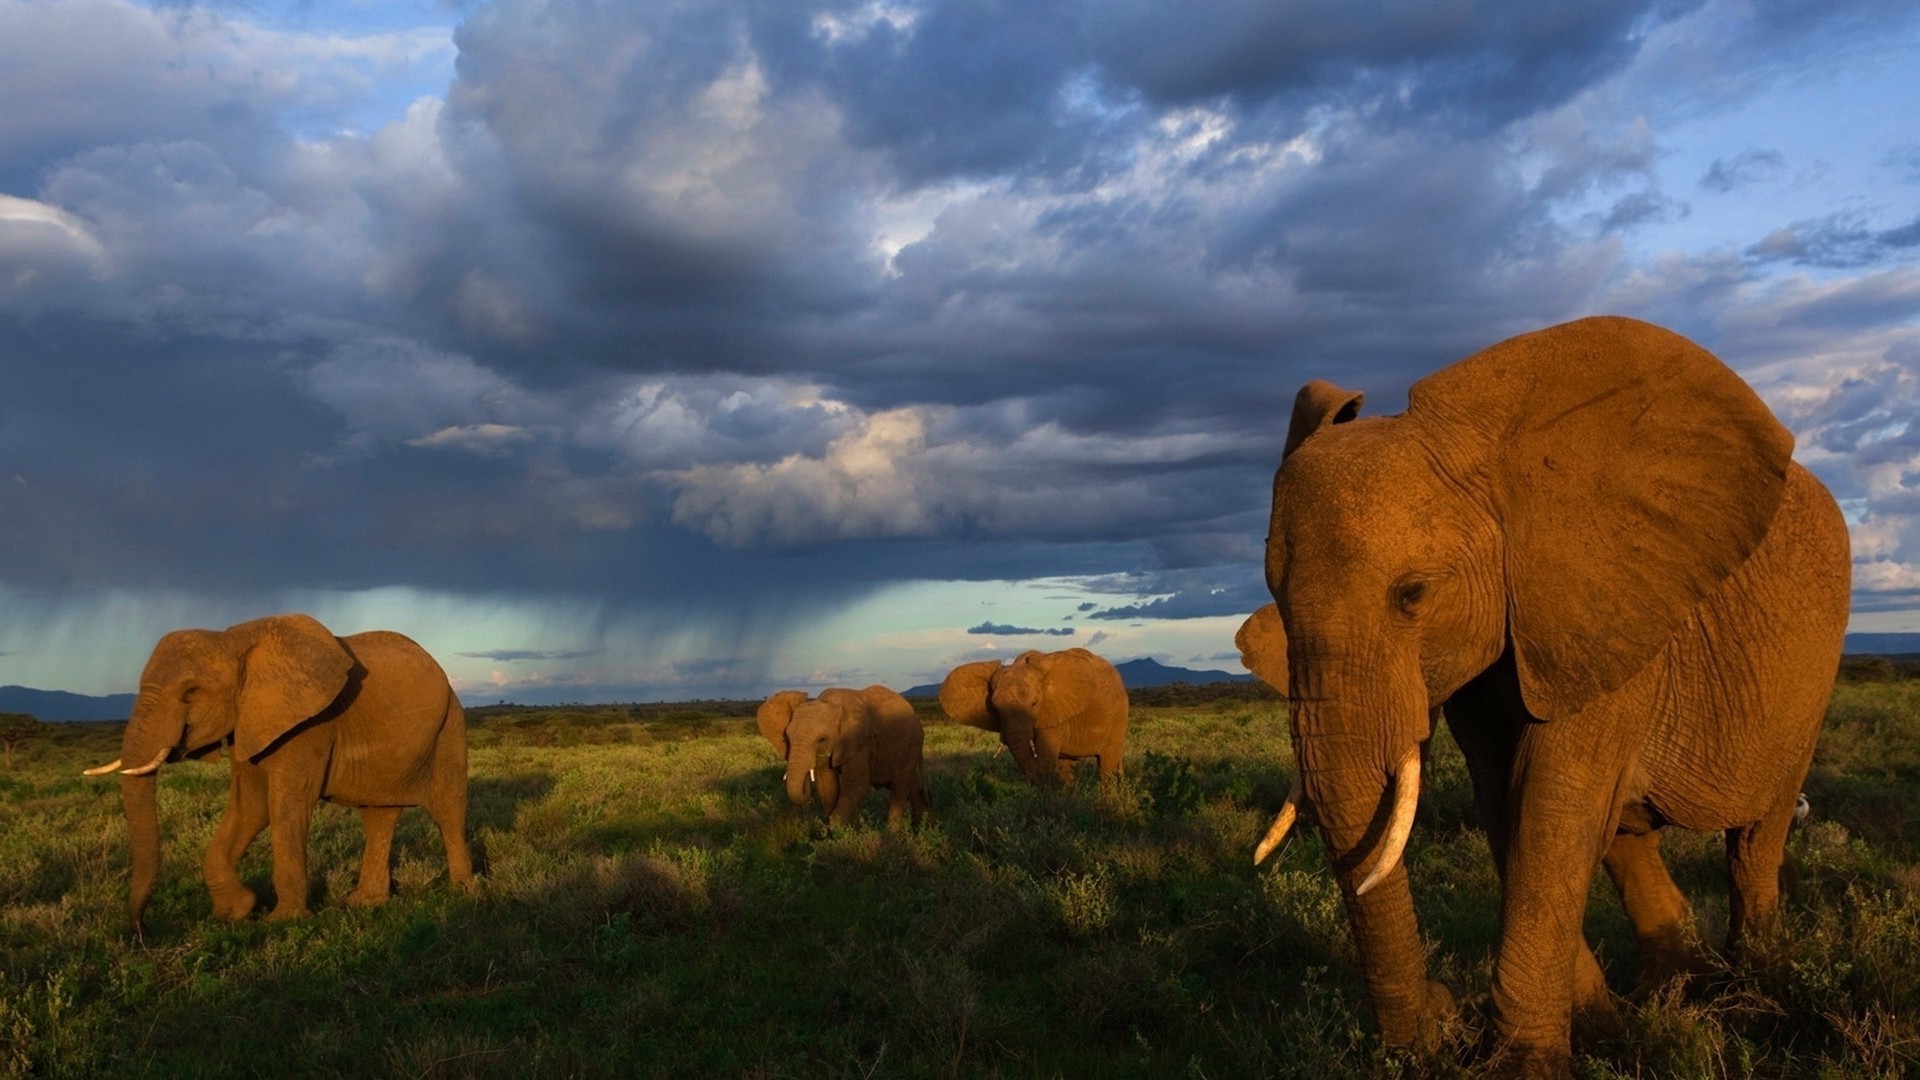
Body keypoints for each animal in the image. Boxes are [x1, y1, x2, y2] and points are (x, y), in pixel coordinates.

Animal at [83, 614, 476, 926]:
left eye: (191, 692)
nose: (140, 930)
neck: (232, 640)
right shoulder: (247, 721)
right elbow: (250, 806)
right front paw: (236, 912)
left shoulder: (309, 726)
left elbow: (286, 807)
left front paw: (281, 921)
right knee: (378, 817)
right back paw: (365, 903)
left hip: (450, 728)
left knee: (447, 810)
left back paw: (463, 892)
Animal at [752, 684, 925, 826]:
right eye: (787, 738)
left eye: (821, 739)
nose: (804, 695)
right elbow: (827, 784)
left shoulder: (859, 742)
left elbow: (857, 786)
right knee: (912, 786)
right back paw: (919, 828)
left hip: (911, 744)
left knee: (899, 787)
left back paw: (893, 835)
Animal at [940, 645, 1121, 780]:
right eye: (995, 708)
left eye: (1034, 704)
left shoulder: (1053, 713)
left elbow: (1047, 761)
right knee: (1067, 767)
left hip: (1119, 713)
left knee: (1107, 768)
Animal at [1236, 315, 1850, 1068]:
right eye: (1276, 600)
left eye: (1413, 594)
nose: (1441, 1014)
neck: (1498, 470)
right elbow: (1510, 802)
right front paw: (1590, 1032)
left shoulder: (1604, 605)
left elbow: (1550, 803)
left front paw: (1524, 1065)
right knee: (1626, 835)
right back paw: (1672, 993)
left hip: (1811, 681)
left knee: (1754, 841)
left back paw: (1752, 987)